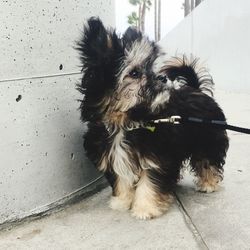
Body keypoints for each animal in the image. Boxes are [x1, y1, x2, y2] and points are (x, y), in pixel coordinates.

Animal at [77, 17, 229, 220]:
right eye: (134, 73)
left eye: (150, 67)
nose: (162, 77)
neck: (127, 122)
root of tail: (196, 89)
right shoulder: (116, 155)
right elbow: (122, 179)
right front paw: (122, 202)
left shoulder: (156, 157)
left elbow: (149, 183)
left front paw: (145, 208)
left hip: (208, 137)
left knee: (207, 159)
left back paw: (208, 183)